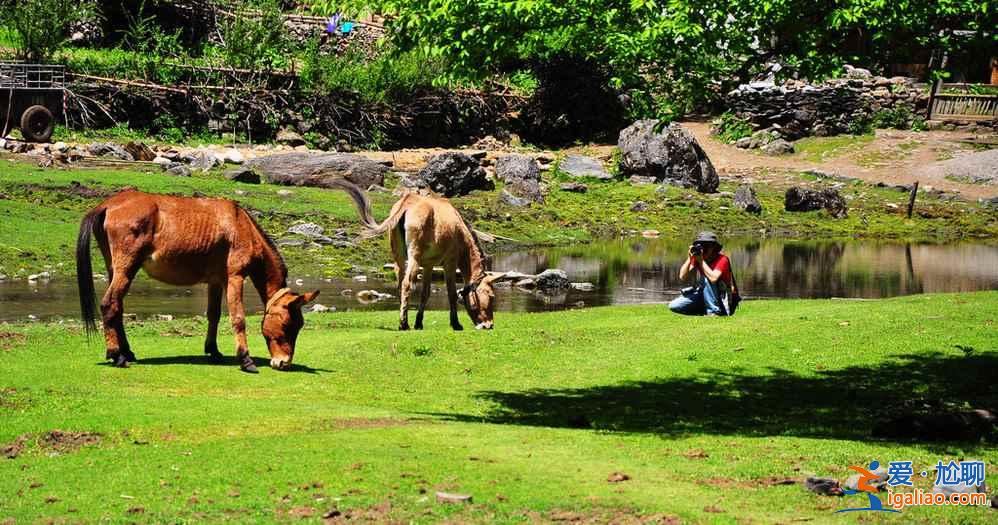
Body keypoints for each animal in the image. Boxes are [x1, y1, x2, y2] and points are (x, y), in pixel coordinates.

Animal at [76, 190, 318, 370]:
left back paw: (127, 351)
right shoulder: (235, 277)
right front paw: (245, 359)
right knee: (109, 305)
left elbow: (214, 315)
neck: (241, 224)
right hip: (127, 268)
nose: (283, 363)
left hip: (116, 270)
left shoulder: (216, 281)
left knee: (117, 307)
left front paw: (214, 350)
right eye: (287, 325)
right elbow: (238, 318)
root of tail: (108, 204)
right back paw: (116, 355)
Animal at [330, 178, 512, 330]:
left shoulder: (429, 264)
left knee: (400, 282)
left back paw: (404, 319)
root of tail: (406, 203)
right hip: (414, 255)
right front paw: (455, 323)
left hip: (398, 254)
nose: (489, 325)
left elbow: (425, 293)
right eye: (491, 296)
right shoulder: (450, 262)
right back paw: (404, 324)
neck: (461, 233)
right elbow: (451, 293)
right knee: (406, 284)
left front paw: (419, 322)